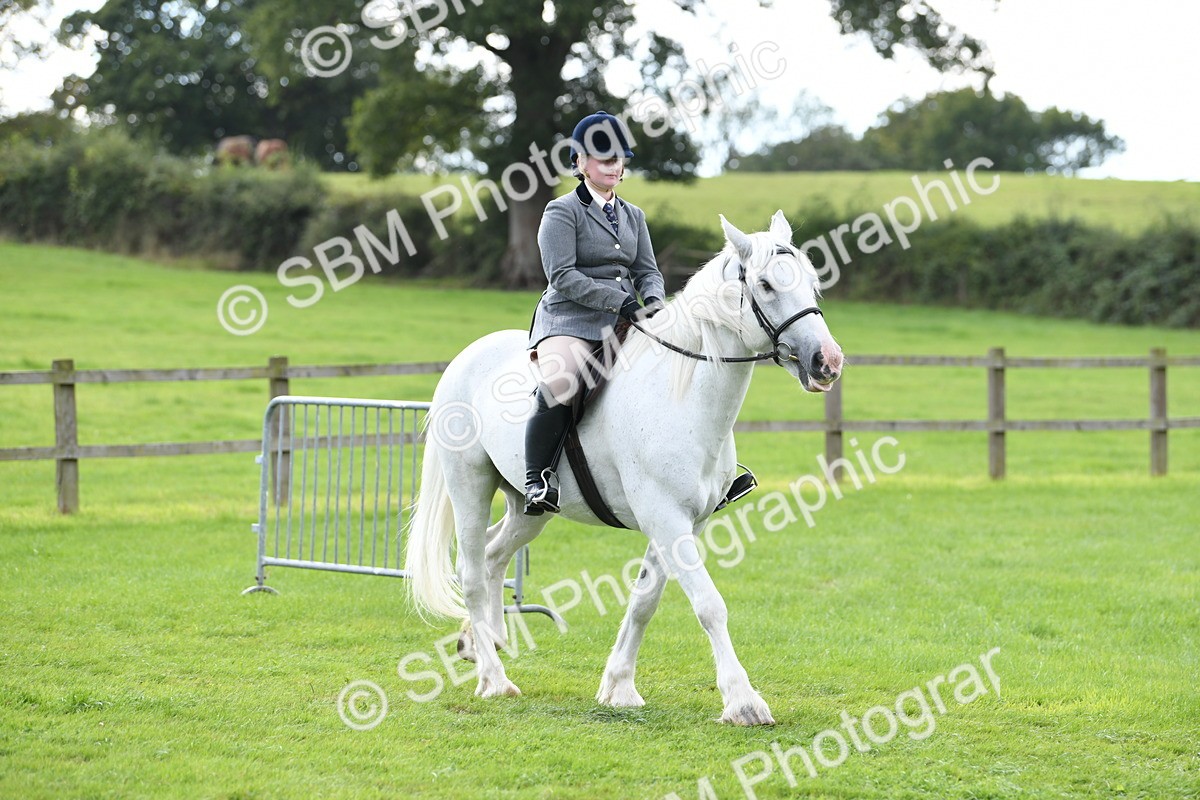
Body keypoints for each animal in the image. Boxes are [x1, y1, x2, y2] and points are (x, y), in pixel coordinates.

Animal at [404, 211, 843, 725]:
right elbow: (709, 605)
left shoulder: (683, 521)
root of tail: (466, 357)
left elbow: (644, 601)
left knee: (494, 555)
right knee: (472, 574)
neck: (683, 396)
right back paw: (494, 679)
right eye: (767, 285)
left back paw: (482, 643)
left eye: (812, 283)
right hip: (469, 484)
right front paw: (743, 701)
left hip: (528, 507)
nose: (827, 361)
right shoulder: (665, 517)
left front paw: (619, 686)